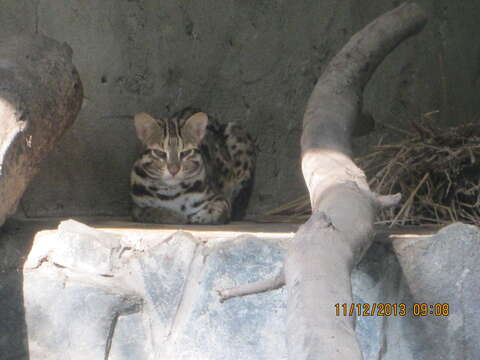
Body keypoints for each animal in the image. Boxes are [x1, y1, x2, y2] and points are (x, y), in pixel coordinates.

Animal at [127, 108, 255, 224]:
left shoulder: (219, 197)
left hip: (235, 132)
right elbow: (150, 211)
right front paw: (175, 217)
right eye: (159, 153)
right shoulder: (136, 207)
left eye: (185, 153)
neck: (171, 192)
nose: (174, 170)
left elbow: (219, 208)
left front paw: (200, 217)